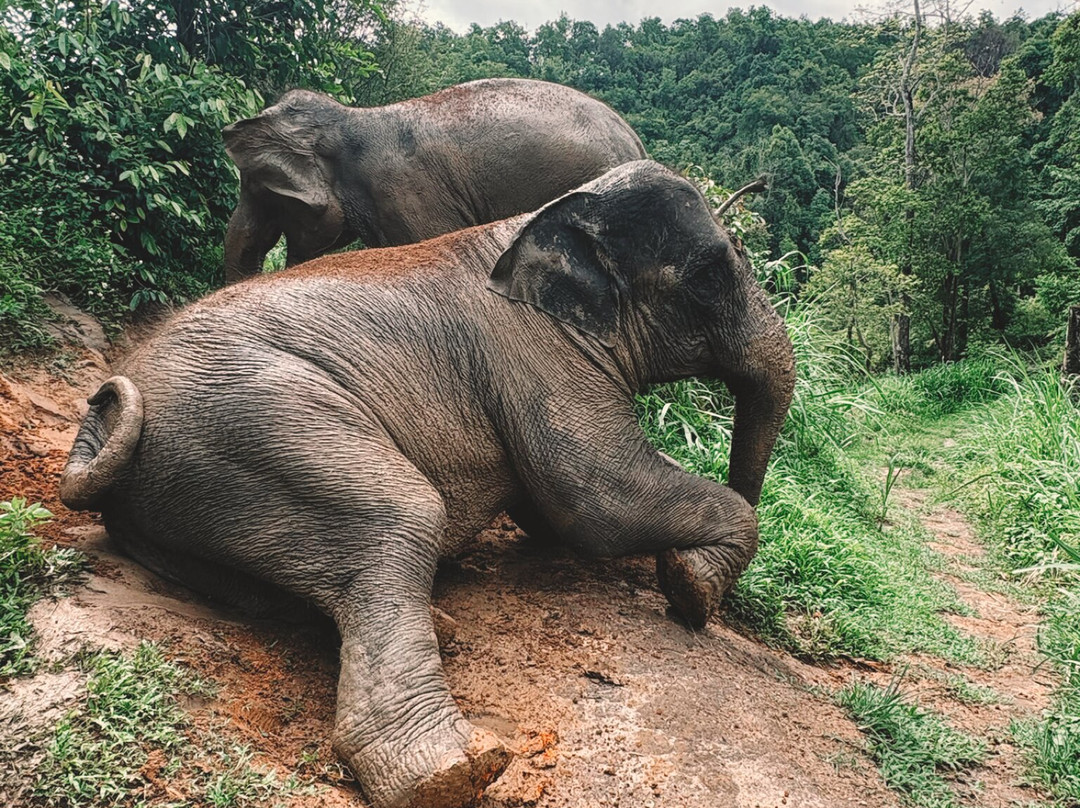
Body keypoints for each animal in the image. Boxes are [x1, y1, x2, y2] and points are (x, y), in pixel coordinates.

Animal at [61, 161, 795, 808]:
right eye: (709, 276)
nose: (701, 596)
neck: (541, 220)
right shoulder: (540, 353)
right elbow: (596, 500)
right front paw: (693, 591)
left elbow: (554, 513)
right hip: (258, 421)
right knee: (405, 514)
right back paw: (450, 770)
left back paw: (437, 627)